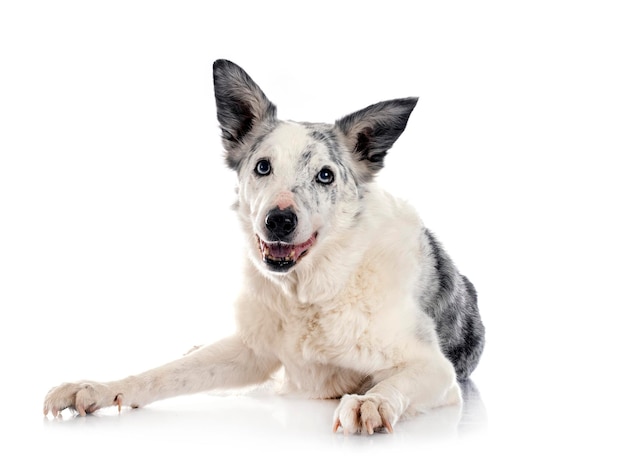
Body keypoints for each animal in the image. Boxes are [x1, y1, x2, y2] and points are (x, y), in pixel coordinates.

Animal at [42, 60, 482, 436]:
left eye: (325, 175)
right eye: (263, 167)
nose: (279, 221)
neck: (310, 295)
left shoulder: (434, 370)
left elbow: (393, 384)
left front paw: (370, 402)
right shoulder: (252, 353)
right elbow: (161, 374)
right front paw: (98, 387)